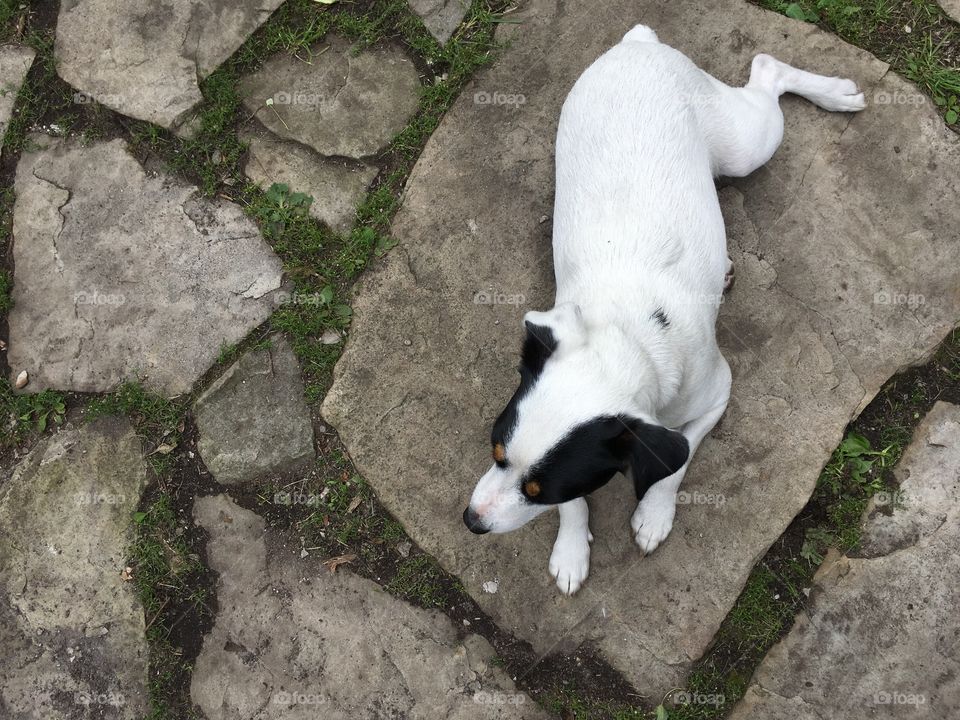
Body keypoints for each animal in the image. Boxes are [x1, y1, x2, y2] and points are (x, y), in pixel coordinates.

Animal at [462, 25, 868, 592]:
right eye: (496, 453)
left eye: (540, 489)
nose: (471, 522)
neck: (628, 333)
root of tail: (638, 43)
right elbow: (579, 510)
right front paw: (571, 547)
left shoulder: (716, 397)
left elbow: (676, 461)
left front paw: (654, 514)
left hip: (745, 145)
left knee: (768, 71)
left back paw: (835, 94)